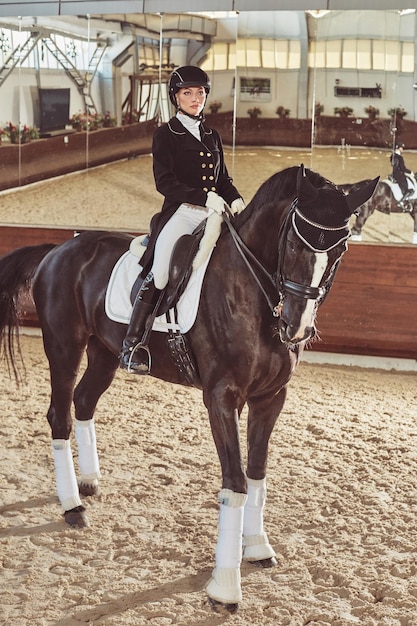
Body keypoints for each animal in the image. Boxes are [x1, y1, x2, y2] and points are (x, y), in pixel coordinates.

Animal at [0, 163, 376, 608]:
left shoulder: (270, 398)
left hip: (105, 352)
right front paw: (225, 586)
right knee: (59, 413)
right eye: (293, 245)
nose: (297, 328)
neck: (252, 293)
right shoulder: (221, 398)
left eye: (342, 249)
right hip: (63, 346)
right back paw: (72, 505)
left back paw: (89, 481)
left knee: (84, 401)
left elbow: (257, 474)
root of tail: (58, 249)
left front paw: (257, 547)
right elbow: (234, 483)